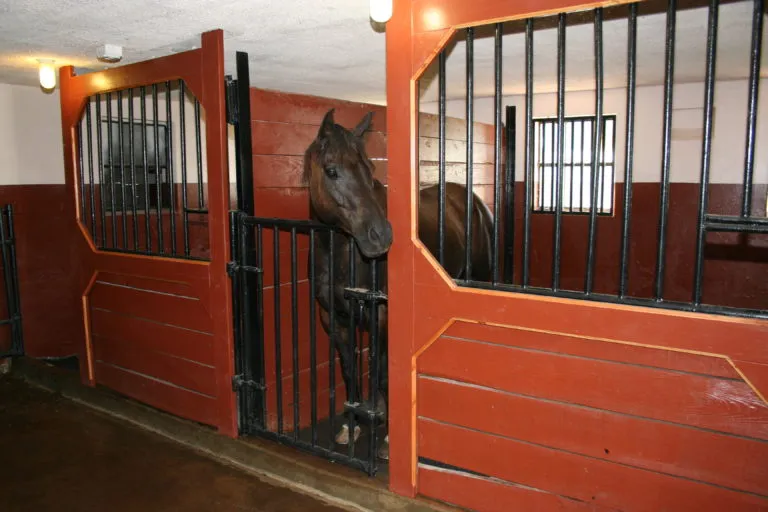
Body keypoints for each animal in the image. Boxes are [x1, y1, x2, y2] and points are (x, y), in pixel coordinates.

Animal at [305, 109, 493, 461]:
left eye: (369, 168)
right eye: (332, 170)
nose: (380, 235)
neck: (343, 254)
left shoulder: (383, 317)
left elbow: (383, 371)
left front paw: (391, 438)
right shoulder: (334, 319)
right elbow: (350, 369)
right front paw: (352, 425)